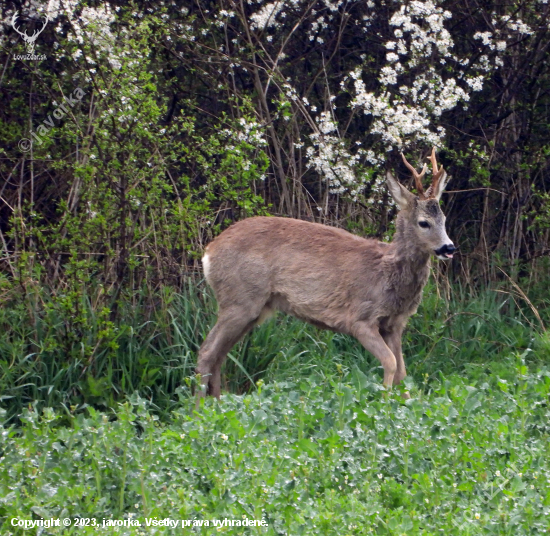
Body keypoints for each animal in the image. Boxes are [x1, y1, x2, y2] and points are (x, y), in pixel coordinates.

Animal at [196, 149, 454, 400]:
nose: (448, 248)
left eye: (443, 219)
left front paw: (406, 406)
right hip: (239, 299)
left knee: (219, 355)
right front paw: (384, 403)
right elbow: (390, 363)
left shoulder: (395, 323)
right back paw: (199, 409)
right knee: (207, 351)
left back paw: (215, 403)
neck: (386, 273)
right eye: (423, 223)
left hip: (252, 308)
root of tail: (209, 252)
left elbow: (402, 370)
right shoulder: (360, 318)